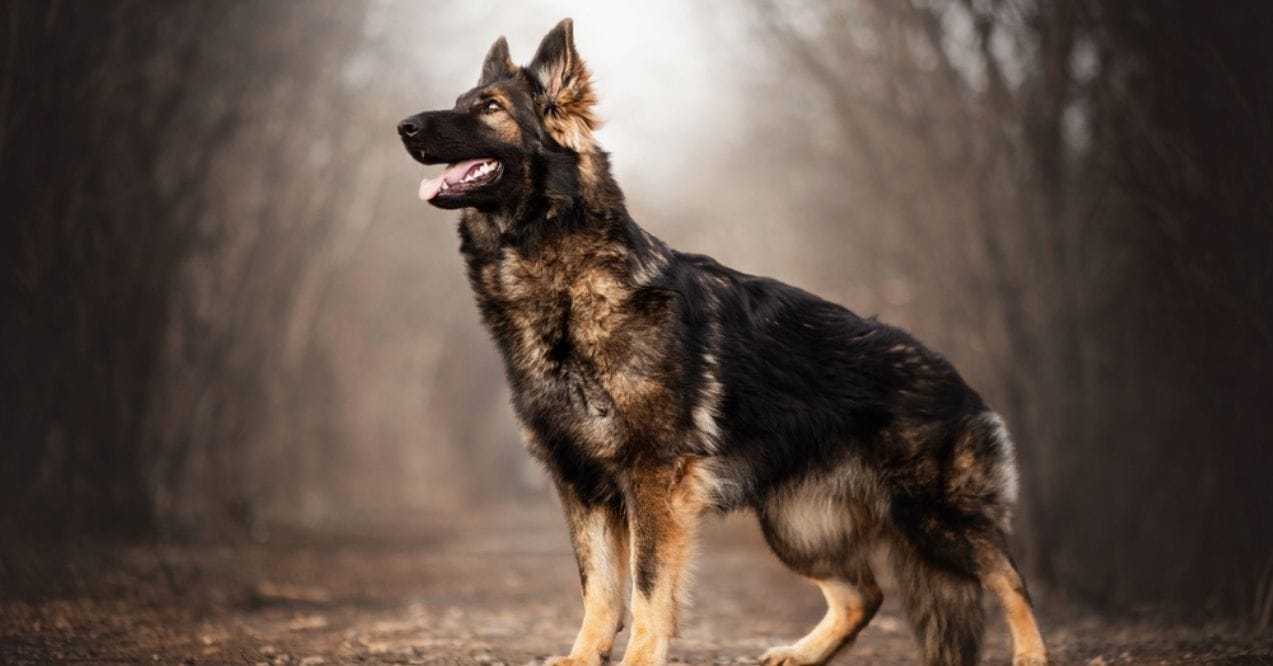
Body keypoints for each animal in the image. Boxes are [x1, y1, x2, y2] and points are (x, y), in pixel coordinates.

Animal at [394, 18, 1043, 662]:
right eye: (461, 101)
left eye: (490, 108)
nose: (404, 125)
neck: (562, 283)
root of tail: (953, 374)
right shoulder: (579, 485)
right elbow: (598, 586)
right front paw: (583, 656)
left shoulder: (652, 479)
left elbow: (647, 588)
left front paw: (637, 659)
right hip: (797, 527)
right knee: (864, 593)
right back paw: (799, 653)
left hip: (934, 518)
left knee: (1009, 577)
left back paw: (1030, 653)